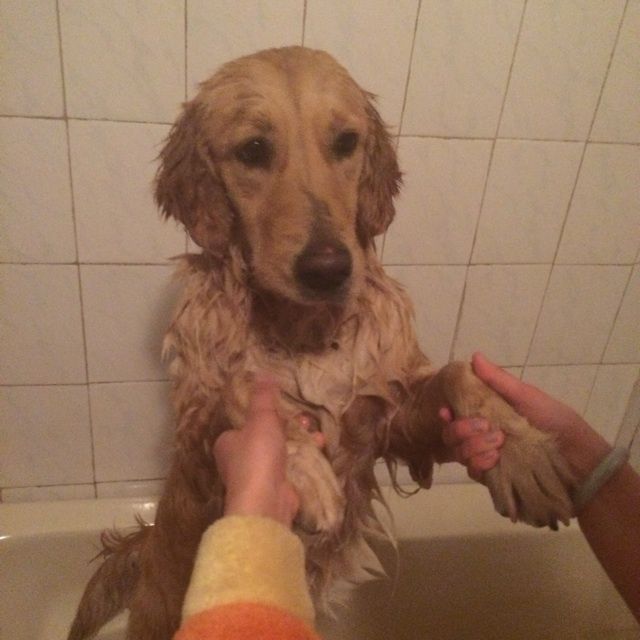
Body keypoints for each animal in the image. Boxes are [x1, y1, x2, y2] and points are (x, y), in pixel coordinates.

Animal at [68, 46, 575, 640]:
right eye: (254, 149)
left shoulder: (387, 422)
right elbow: (238, 394)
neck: (305, 333)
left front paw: (522, 450)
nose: (328, 268)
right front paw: (303, 467)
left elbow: (458, 373)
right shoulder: (198, 441)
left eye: (346, 142)